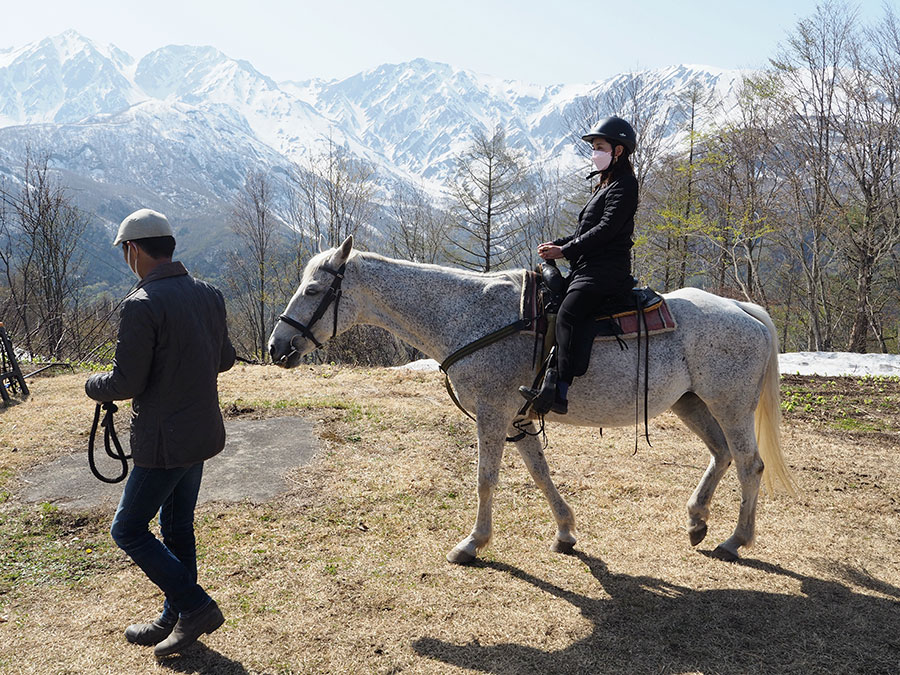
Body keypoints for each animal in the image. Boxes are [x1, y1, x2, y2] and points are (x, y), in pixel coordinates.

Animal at [268, 238, 796, 564]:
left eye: (313, 289)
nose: (276, 347)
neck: (470, 315)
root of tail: (741, 308)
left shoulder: (491, 412)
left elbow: (486, 480)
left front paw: (472, 544)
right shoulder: (517, 418)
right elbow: (540, 474)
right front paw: (565, 532)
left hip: (729, 405)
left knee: (749, 464)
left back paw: (735, 539)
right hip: (691, 402)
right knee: (721, 454)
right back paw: (697, 521)